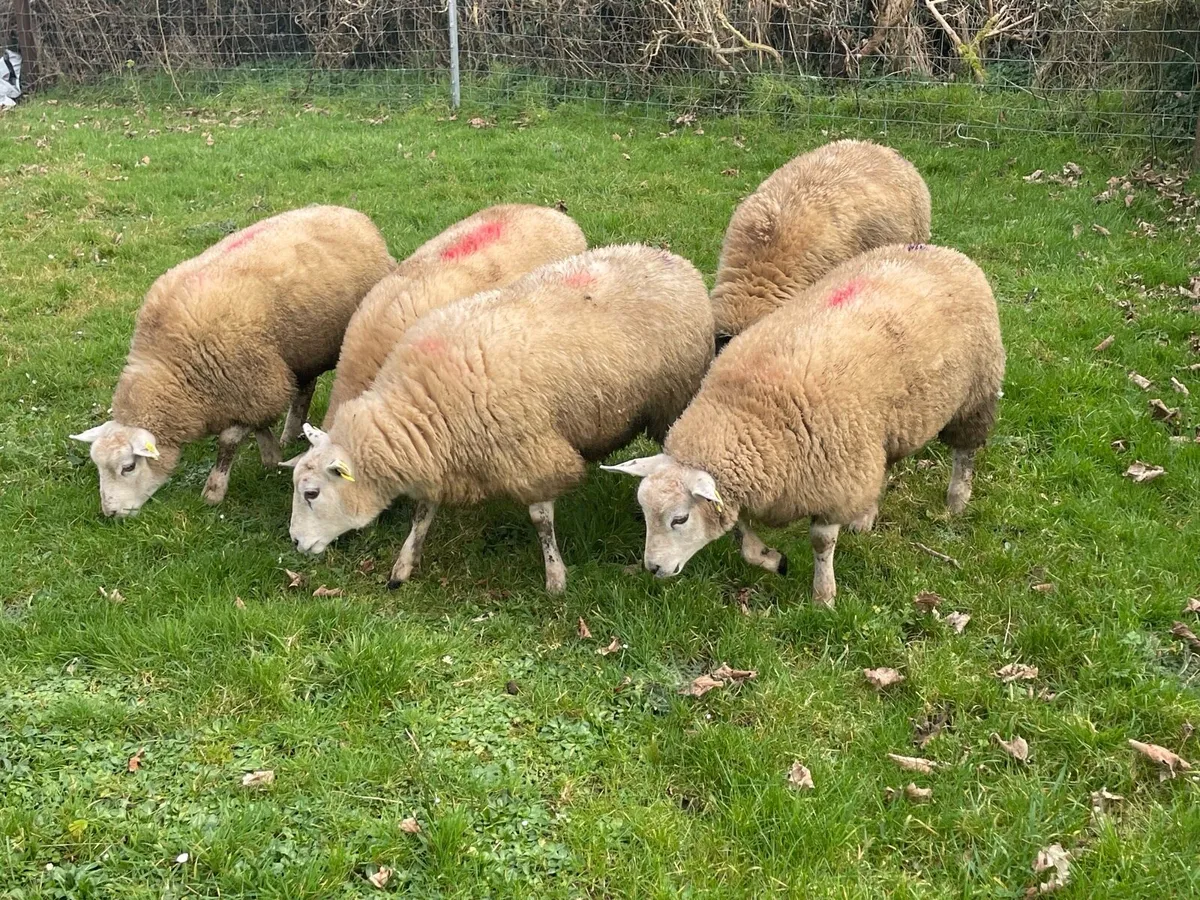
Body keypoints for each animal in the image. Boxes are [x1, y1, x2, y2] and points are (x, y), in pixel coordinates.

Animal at [71, 205, 394, 516]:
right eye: (98, 467)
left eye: (128, 467)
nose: (110, 513)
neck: (171, 370)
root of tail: (354, 216)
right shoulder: (255, 388)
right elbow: (260, 425)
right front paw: (271, 455)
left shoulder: (258, 382)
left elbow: (228, 441)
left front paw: (214, 490)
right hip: (302, 349)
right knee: (305, 388)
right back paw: (290, 433)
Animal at [287, 245, 714, 595]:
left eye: (312, 493)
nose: (293, 541)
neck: (422, 405)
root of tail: (673, 258)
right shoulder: (442, 458)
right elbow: (422, 515)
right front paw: (403, 566)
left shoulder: (531, 452)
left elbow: (541, 520)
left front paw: (555, 578)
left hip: (674, 398)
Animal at [604, 243, 1005, 607]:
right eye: (645, 514)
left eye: (680, 519)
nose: (653, 568)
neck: (746, 414)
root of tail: (944, 252)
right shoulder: (752, 484)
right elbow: (741, 535)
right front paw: (772, 560)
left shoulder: (833, 480)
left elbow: (821, 542)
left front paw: (823, 596)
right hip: (885, 427)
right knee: (885, 462)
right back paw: (866, 516)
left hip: (976, 392)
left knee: (965, 452)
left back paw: (956, 500)